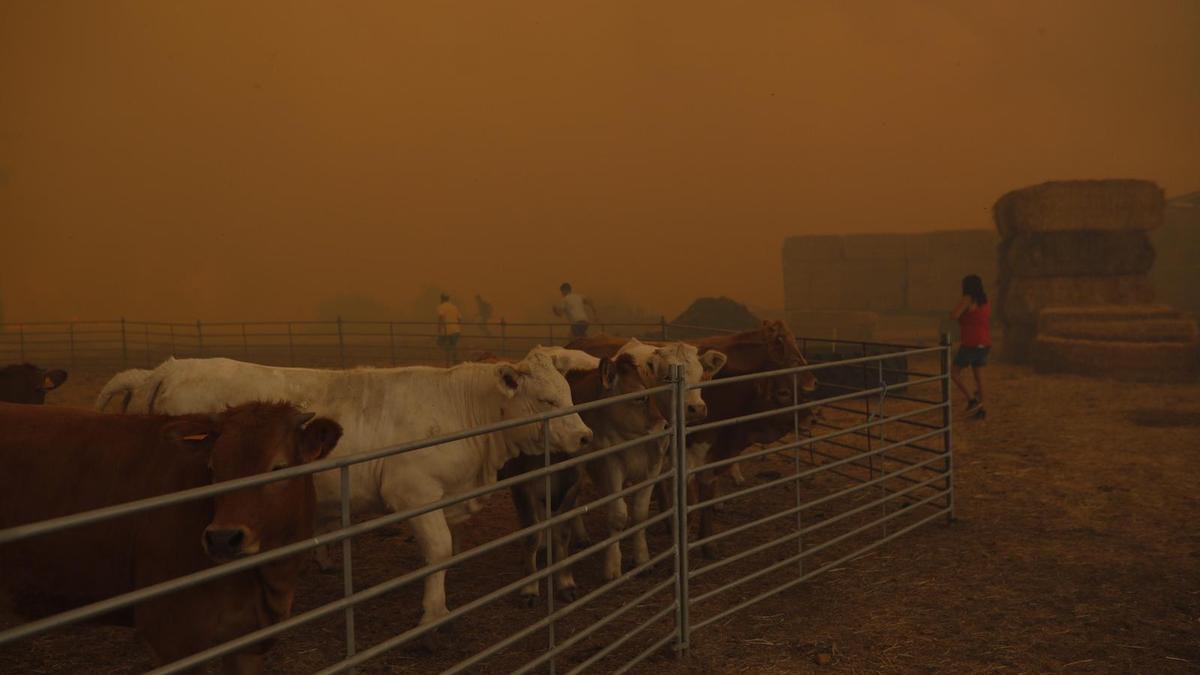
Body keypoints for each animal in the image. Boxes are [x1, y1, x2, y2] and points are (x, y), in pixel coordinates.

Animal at [0, 398, 343, 672]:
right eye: (213, 468)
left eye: (278, 468)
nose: (222, 538)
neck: (266, 578)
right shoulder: (173, 638)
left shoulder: (248, 642)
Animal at [568, 319, 816, 557]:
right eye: (783, 393)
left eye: (700, 376)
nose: (812, 416)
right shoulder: (686, 461)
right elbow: (691, 503)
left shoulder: (711, 459)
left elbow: (707, 499)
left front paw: (708, 544)